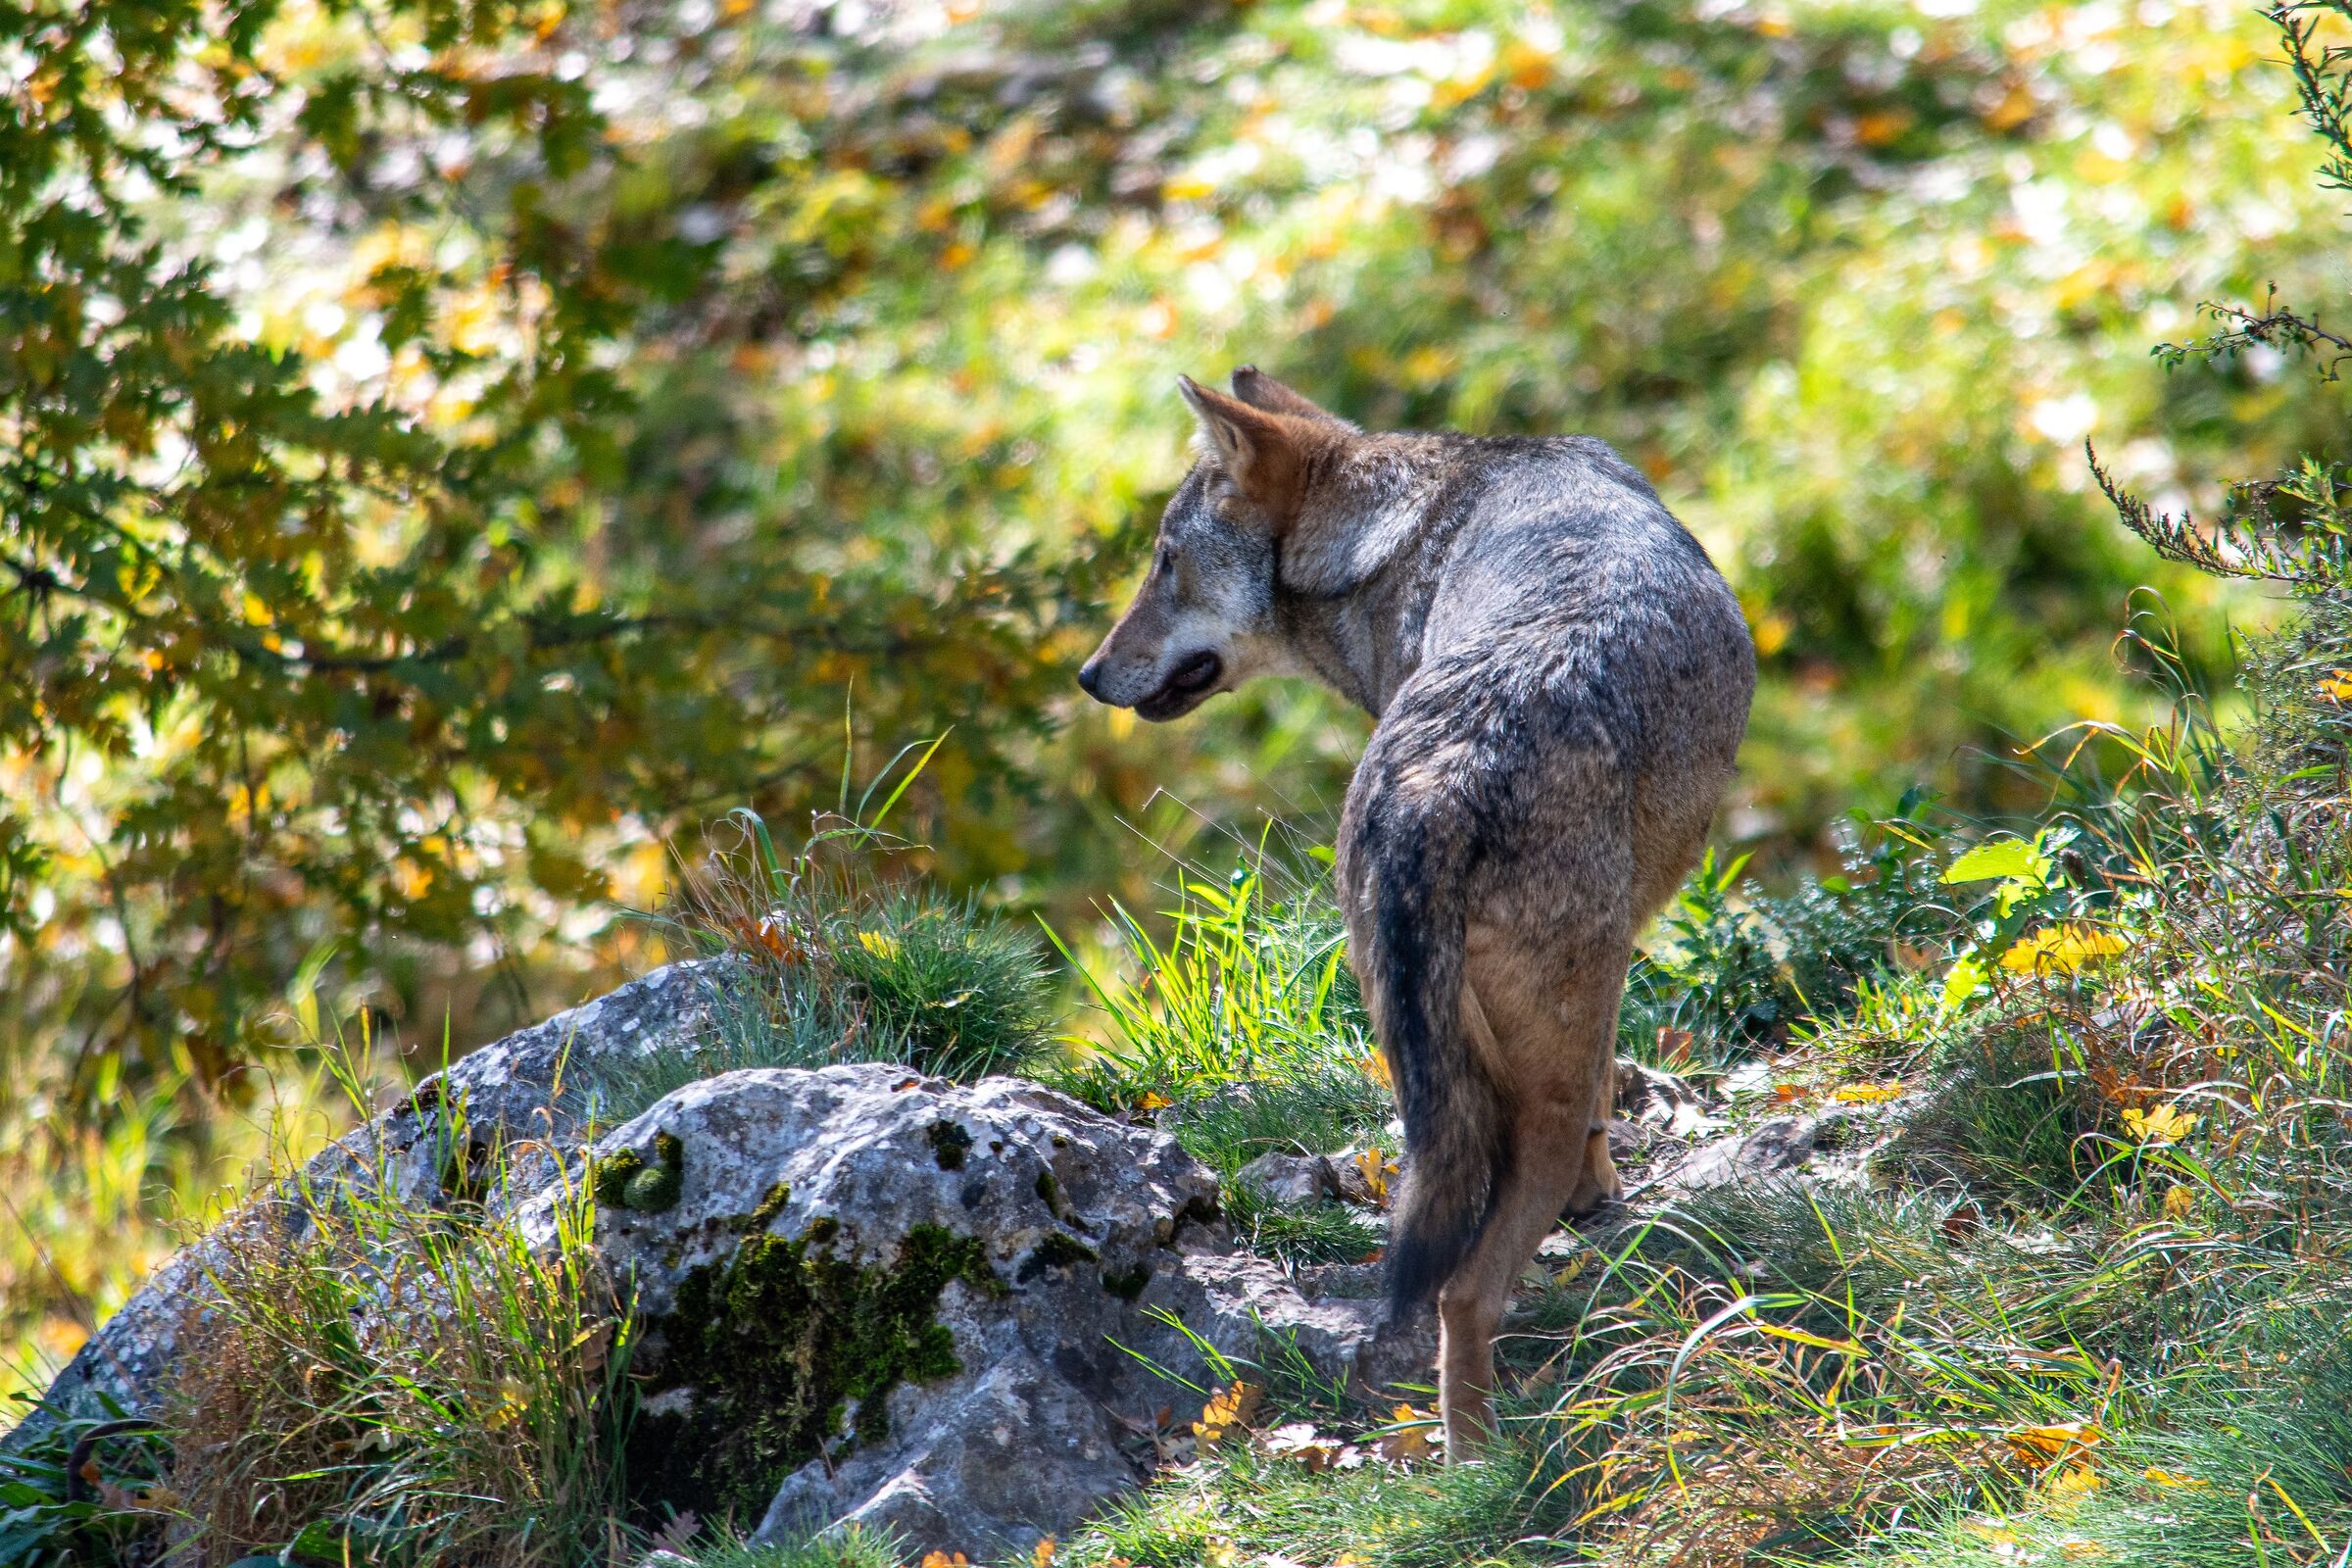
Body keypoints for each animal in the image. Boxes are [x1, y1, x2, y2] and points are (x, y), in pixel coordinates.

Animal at [1077, 368, 1756, 1453]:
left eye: (1166, 564)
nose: (1090, 675)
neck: (1387, 539)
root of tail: (1441, 777)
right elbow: (1608, 1098)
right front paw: (1602, 1198)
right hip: (1532, 1082)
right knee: (1464, 1290)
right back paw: (1484, 1462)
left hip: (1412, 1057)